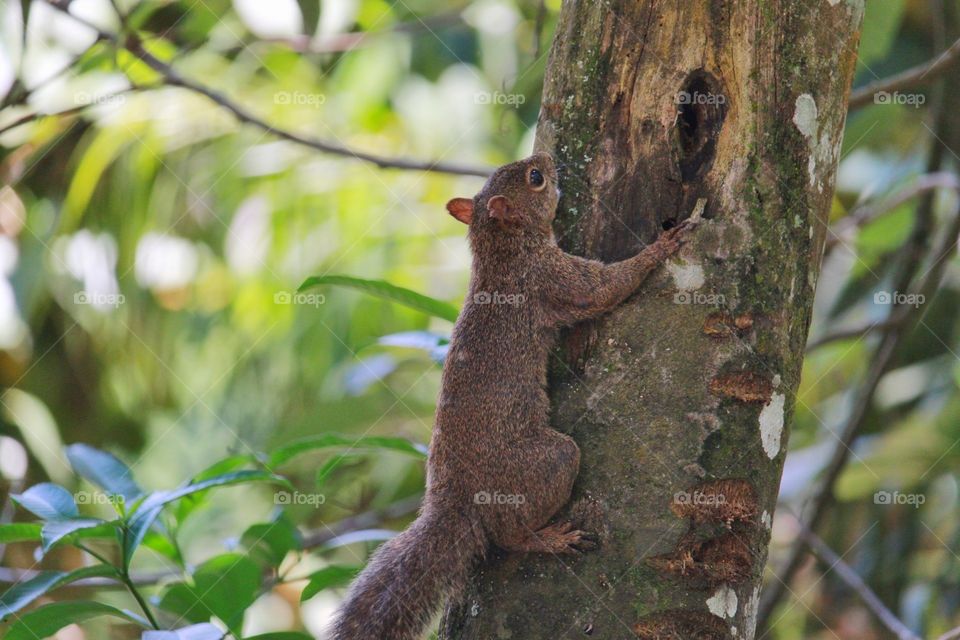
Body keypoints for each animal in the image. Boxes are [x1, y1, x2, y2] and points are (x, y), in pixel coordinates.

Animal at [330, 152, 695, 640]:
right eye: (535, 178)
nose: (547, 158)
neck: (501, 251)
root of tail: (456, 500)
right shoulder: (551, 277)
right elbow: (603, 288)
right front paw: (662, 245)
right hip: (544, 463)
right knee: (510, 532)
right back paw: (549, 539)